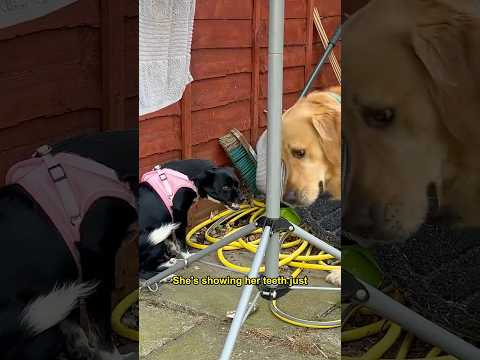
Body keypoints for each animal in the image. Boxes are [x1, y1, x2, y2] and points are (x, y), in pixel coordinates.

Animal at [0, 131, 139, 360]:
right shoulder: (96, 259)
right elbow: (100, 326)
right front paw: (113, 356)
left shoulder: (68, 268)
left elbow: (73, 322)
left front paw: (83, 350)